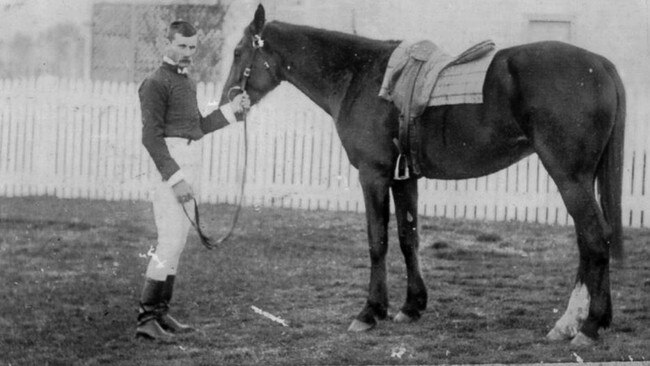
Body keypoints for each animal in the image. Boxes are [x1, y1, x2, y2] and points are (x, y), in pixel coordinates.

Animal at [220, 5, 624, 346]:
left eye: (238, 52)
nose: (227, 102)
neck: (358, 76)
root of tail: (600, 64)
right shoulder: (405, 178)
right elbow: (407, 238)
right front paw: (411, 306)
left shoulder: (374, 175)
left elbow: (378, 241)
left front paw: (370, 312)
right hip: (580, 179)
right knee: (591, 240)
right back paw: (580, 322)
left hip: (568, 176)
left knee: (594, 238)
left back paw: (588, 326)